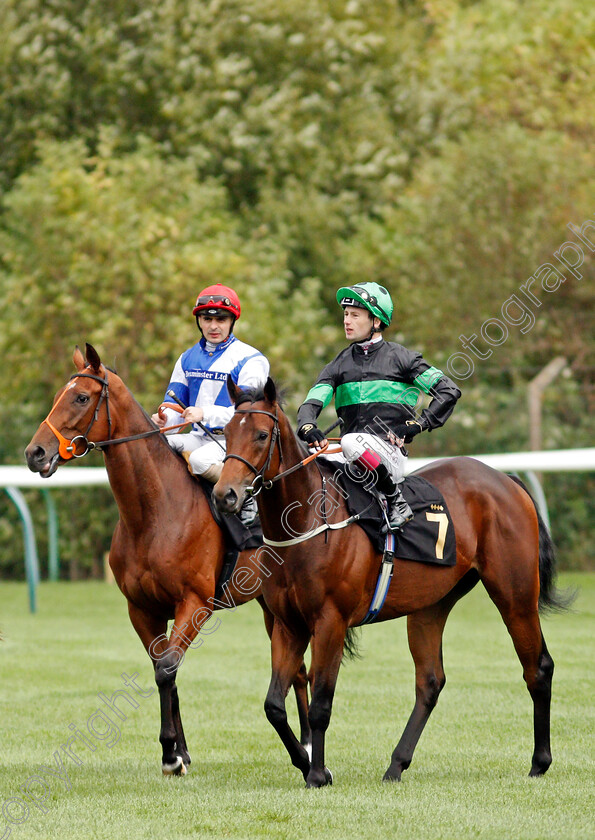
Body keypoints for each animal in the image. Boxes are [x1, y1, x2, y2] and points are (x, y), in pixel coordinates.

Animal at [25, 346, 310, 776]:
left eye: (81, 397)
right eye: (61, 393)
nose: (34, 453)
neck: (155, 513)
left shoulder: (194, 603)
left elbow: (167, 669)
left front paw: (170, 754)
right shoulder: (142, 608)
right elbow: (164, 669)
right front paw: (179, 751)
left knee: (301, 672)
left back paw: (308, 746)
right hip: (271, 605)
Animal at [213, 378, 568, 788]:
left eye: (261, 434)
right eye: (225, 431)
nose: (225, 495)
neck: (307, 522)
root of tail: (506, 480)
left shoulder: (331, 622)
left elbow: (320, 703)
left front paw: (317, 773)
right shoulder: (289, 624)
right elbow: (274, 705)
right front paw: (306, 763)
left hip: (515, 594)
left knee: (538, 668)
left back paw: (540, 761)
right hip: (431, 606)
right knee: (430, 681)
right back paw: (397, 764)